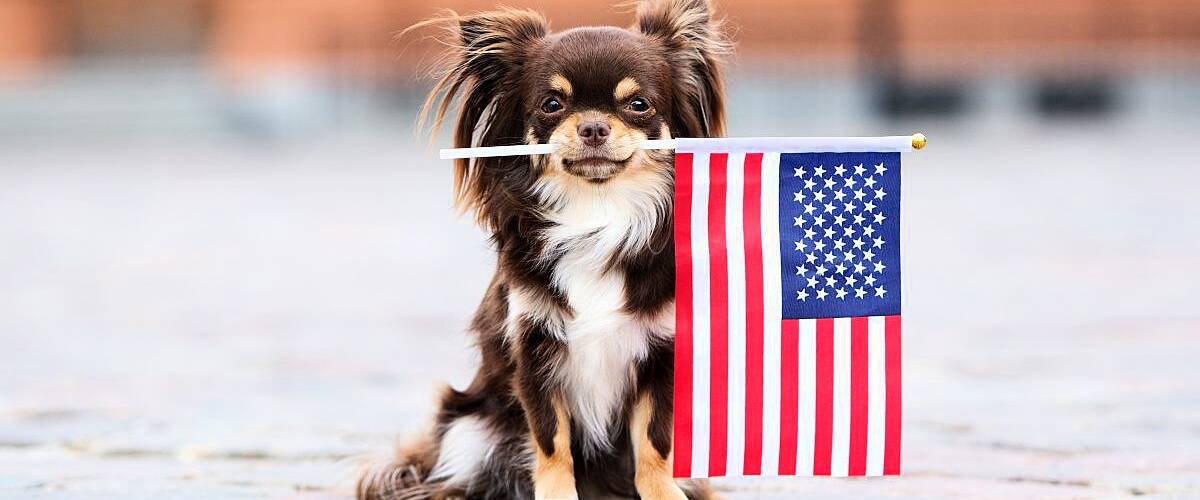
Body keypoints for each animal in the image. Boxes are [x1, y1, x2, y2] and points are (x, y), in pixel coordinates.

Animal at [360, 1, 724, 496]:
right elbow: (552, 442)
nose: (593, 126)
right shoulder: (533, 352)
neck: (597, 214)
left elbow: (654, 443)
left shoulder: (661, 355)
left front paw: (663, 492)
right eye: (553, 105)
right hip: (467, 426)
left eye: (638, 105)